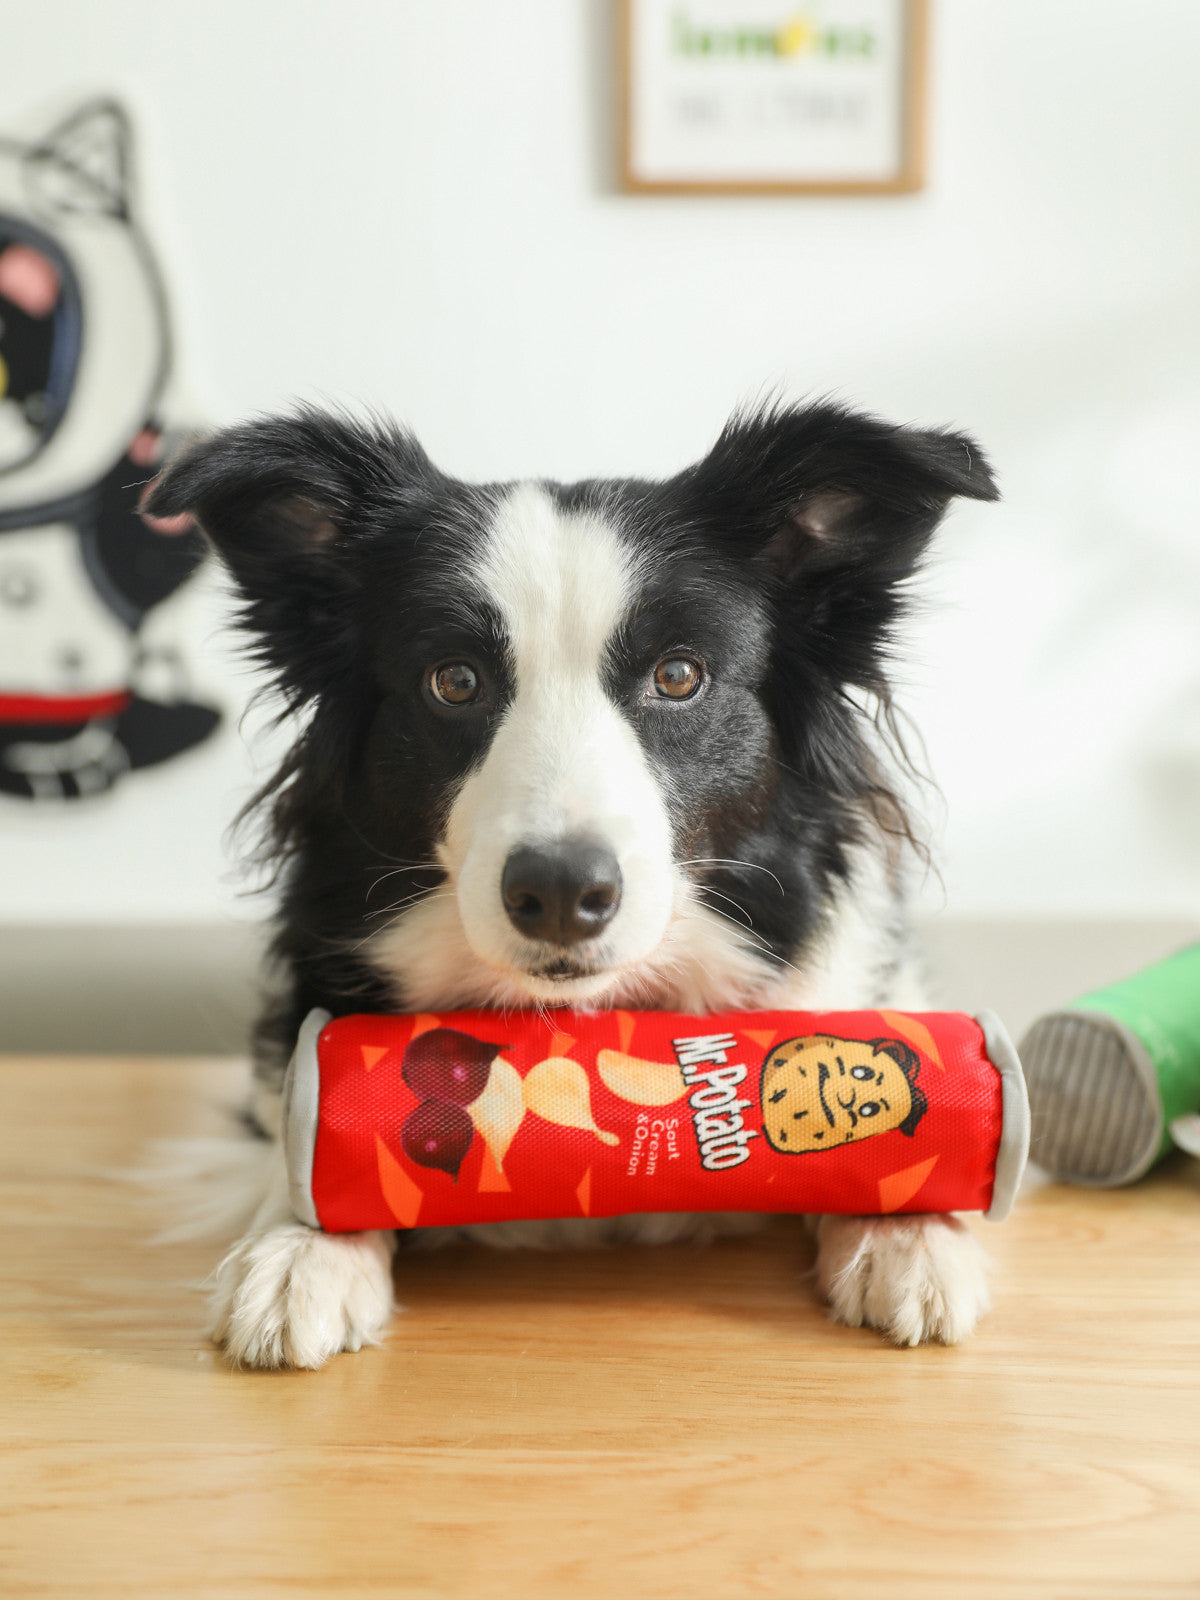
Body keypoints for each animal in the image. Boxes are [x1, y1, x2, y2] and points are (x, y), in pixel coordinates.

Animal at [145, 396, 998, 1363]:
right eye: (454, 680)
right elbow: (300, 1134)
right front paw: (303, 1243)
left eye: (679, 674)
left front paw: (906, 1223)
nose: (559, 894)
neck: (585, 1020)